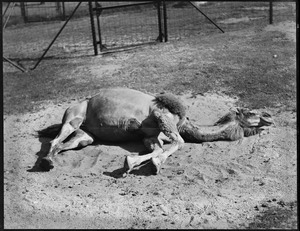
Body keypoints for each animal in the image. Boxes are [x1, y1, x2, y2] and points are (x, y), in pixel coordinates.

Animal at [37, 88, 272, 175]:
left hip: (86, 135)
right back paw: (46, 162)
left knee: (66, 143)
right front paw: (150, 163)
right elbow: (179, 142)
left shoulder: (150, 134)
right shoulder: (162, 116)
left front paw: (134, 163)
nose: (269, 117)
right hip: (74, 116)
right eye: (251, 112)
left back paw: (50, 161)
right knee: (55, 140)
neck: (183, 121)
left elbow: (158, 148)